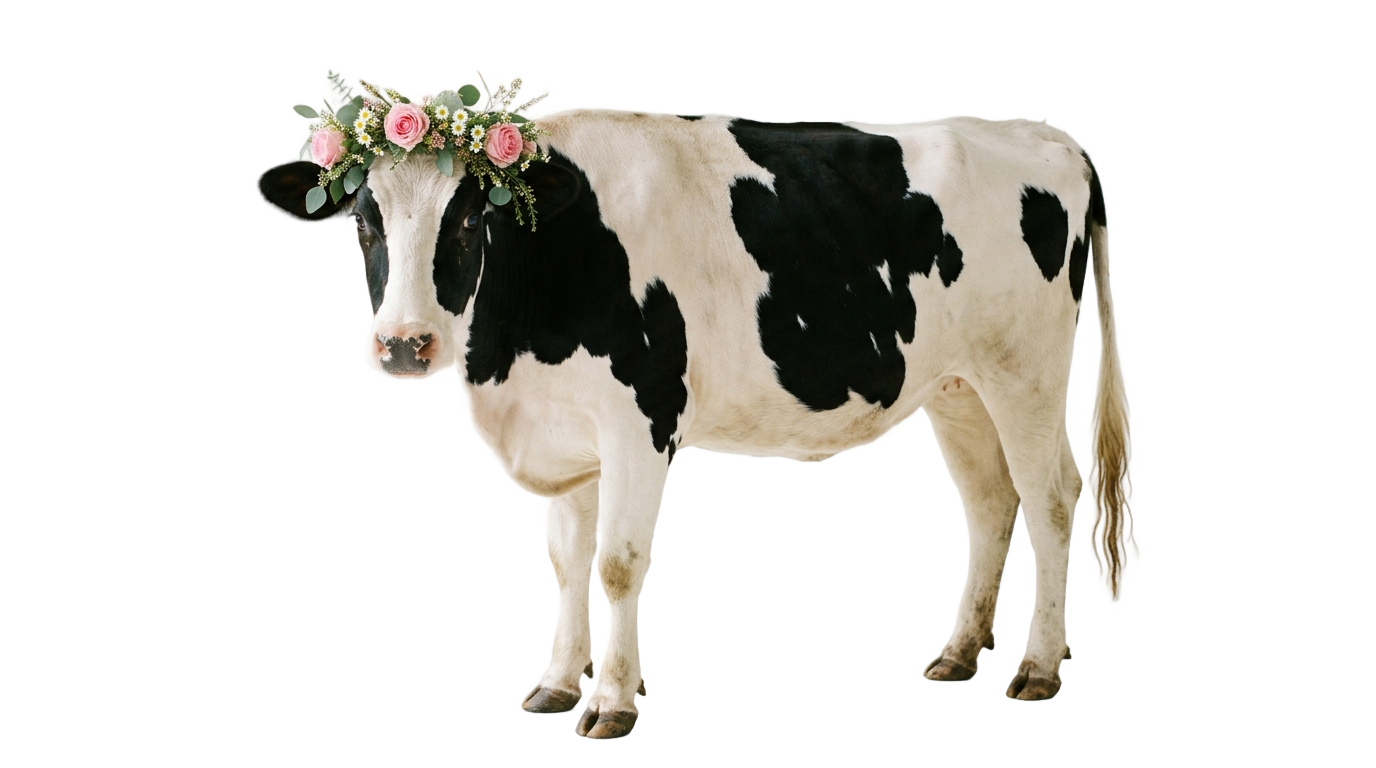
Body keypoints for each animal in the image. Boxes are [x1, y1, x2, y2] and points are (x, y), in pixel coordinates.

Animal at [259, 111, 1128, 739]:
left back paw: (1040, 668)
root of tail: (1048, 140)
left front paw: (613, 703)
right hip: (957, 385)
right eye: (364, 220)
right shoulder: (565, 430)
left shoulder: (639, 419)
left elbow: (618, 565)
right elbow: (569, 563)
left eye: (470, 221)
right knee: (989, 503)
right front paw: (557, 684)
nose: (405, 344)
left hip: (1027, 373)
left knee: (1048, 506)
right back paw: (958, 653)